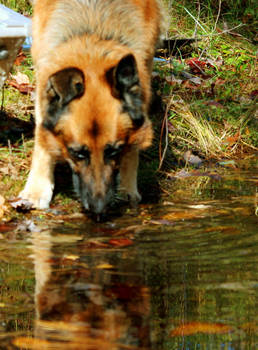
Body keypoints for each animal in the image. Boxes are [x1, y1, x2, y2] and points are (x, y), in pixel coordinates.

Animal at [20, 0, 165, 217]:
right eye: (78, 153)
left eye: (114, 151)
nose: (99, 210)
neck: (93, 35)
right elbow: (42, 140)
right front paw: (37, 189)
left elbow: (133, 147)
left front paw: (128, 188)